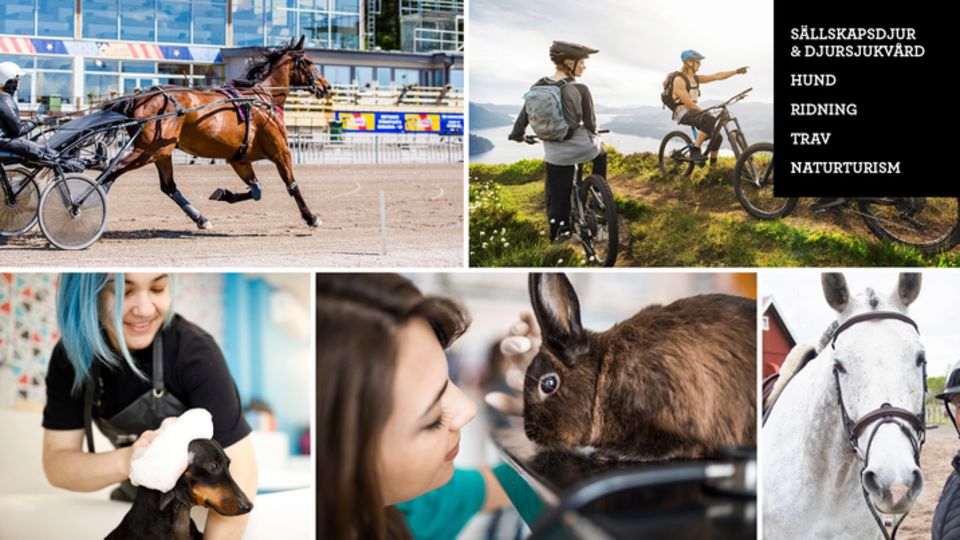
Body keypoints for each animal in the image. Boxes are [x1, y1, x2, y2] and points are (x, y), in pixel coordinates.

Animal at [99, 35, 328, 230]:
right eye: (309, 62)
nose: (326, 86)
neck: (261, 100)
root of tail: (140, 98)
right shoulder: (281, 152)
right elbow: (292, 185)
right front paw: (311, 217)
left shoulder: (239, 159)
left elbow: (256, 191)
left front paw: (223, 194)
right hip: (148, 151)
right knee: (112, 171)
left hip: (162, 152)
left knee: (169, 186)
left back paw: (201, 218)